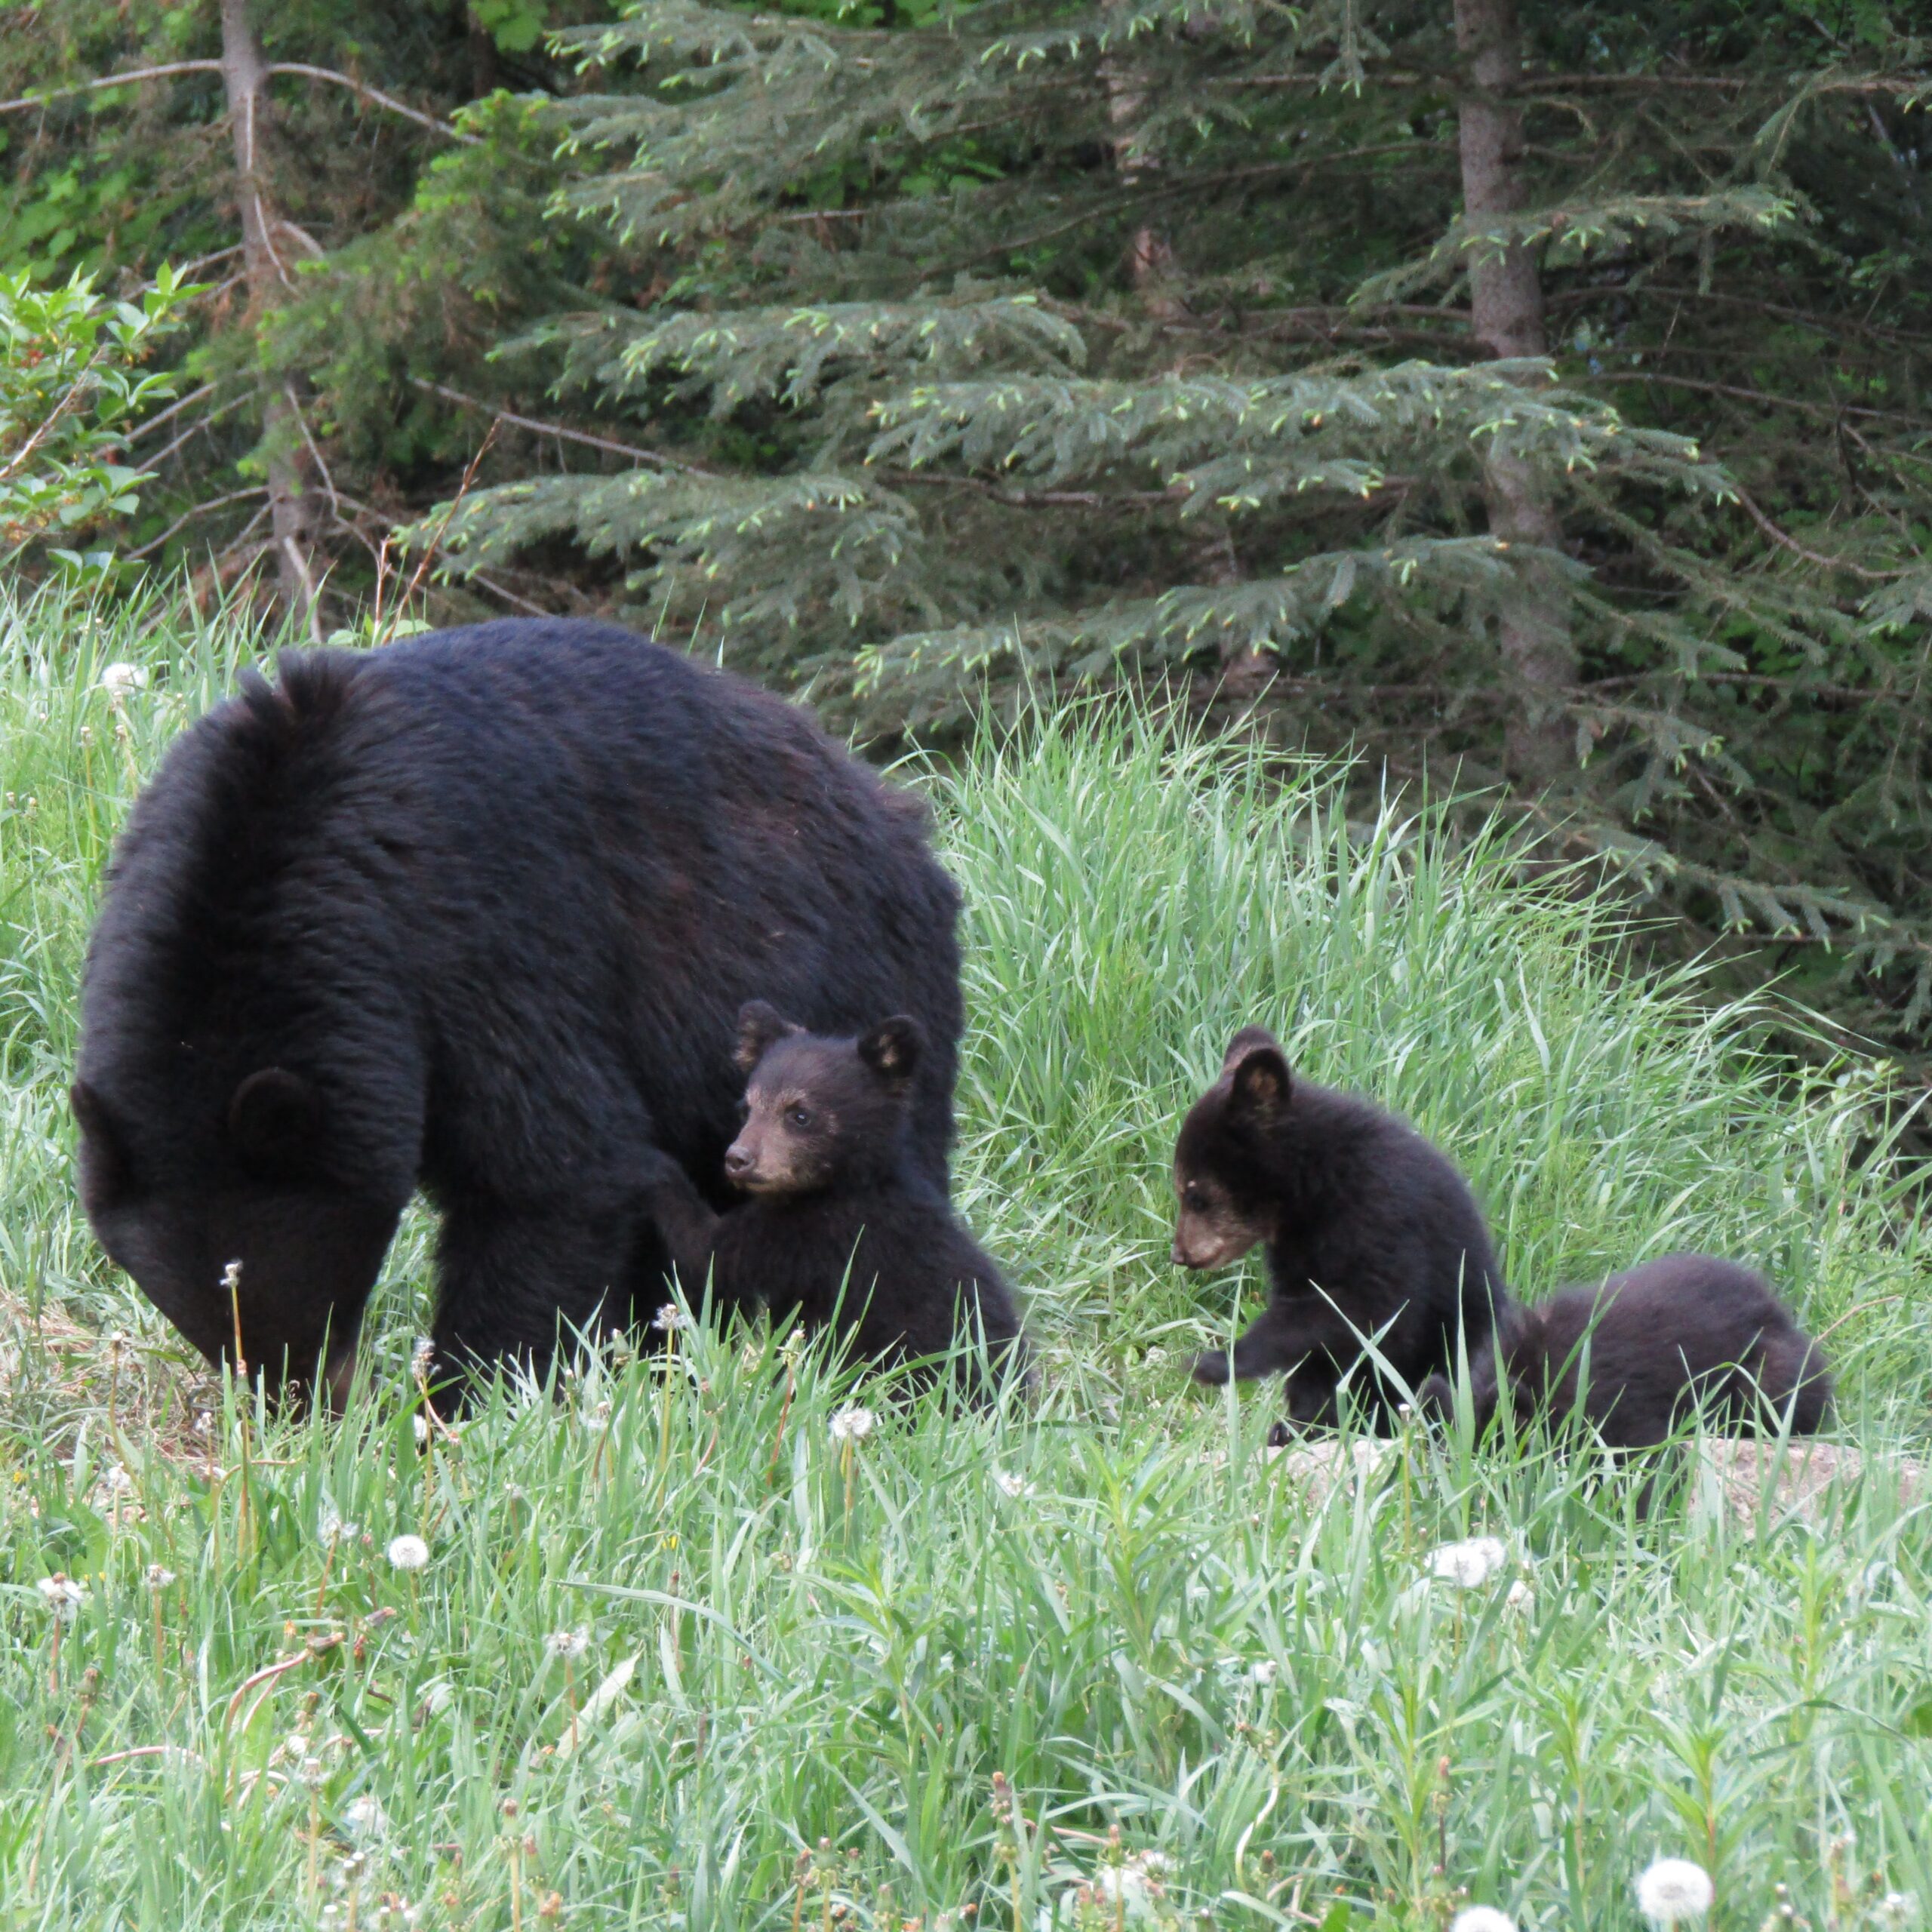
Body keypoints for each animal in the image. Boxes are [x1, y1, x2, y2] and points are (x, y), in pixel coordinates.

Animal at [73, 618, 966, 1406]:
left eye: (286, 1298)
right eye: (200, 1316)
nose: (303, 1409)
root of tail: (899, 816)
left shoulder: (482, 935)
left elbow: (550, 1174)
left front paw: (462, 1405)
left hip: (853, 991)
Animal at [633, 1004, 1027, 1398]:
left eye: (799, 1114)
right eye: (747, 1108)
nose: (737, 1159)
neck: (843, 1185)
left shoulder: (813, 1235)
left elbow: (713, 1252)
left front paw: (649, 1163)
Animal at [1167, 1027, 1515, 1437]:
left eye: (1196, 1196)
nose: (1179, 1254)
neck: (1313, 1185)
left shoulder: (1381, 1212)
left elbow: (1374, 1309)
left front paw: (1218, 1362)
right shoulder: (1294, 1251)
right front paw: (1301, 1422)